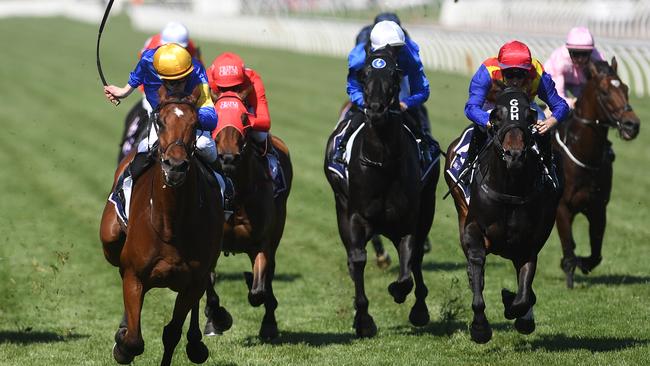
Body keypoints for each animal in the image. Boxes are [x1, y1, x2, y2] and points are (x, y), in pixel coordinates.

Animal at [98, 87, 223, 364]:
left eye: (195, 124)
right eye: (161, 122)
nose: (175, 166)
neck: (169, 224)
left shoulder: (192, 282)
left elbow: (172, 333)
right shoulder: (134, 276)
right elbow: (133, 340)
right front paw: (121, 344)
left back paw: (197, 342)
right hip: (110, 238)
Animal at [204, 91, 292, 340]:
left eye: (244, 117)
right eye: (215, 115)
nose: (227, 158)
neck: (237, 194)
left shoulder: (261, 242)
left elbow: (258, 291)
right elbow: (210, 289)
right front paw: (217, 320)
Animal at [322, 48, 438, 338]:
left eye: (395, 74)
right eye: (363, 74)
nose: (375, 109)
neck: (383, 164)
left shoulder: (408, 219)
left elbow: (408, 264)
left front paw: (401, 294)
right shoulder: (355, 216)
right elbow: (358, 259)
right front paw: (363, 320)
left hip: (428, 206)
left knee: (417, 258)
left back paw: (420, 308)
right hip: (341, 207)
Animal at [442, 88, 560, 344]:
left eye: (529, 116)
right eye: (496, 117)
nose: (513, 154)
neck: (510, 189)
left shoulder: (530, 242)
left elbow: (524, 293)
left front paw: (515, 307)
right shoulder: (474, 228)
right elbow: (477, 264)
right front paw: (480, 328)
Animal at [552, 58, 636, 288]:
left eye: (626, 88)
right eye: (604, 92)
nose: (632, 125)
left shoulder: (598, 207)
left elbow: (595, 253)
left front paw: (583, 263)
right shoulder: (562, 207)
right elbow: (568, 247)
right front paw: (569, 274)